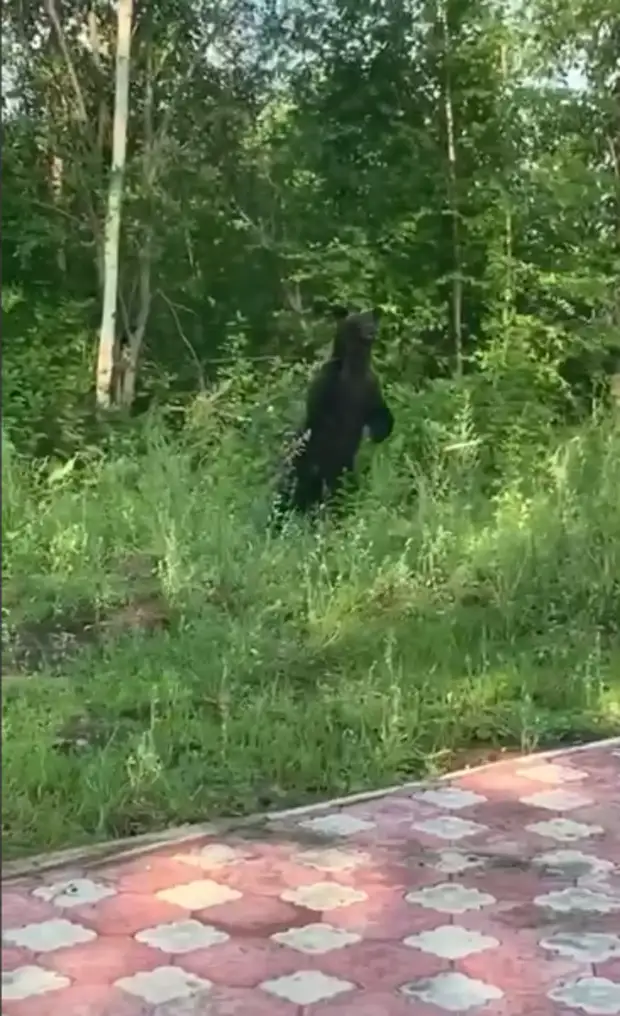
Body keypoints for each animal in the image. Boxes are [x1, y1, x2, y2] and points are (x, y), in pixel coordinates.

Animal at [272, 302, 394, 520]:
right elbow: (321, 416)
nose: (371, 331)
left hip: (344, 470)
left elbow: (380, 414)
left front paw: (377, 433)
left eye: (371, 318)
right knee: (295, 490)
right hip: (301, 467)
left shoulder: (369, 387)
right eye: (356, 321)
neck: (355, 370)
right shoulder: (329, 384)